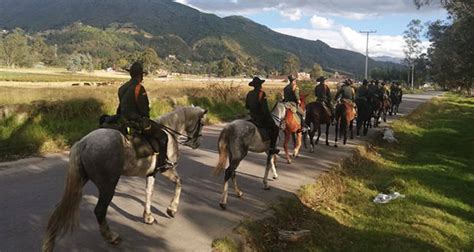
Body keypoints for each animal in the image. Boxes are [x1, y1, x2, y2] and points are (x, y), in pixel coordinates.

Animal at [43, 106, 207, 250]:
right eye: (202, 124)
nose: (197, 143)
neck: (170, 130)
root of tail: (83, 143)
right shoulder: (167, 170)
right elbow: (179, 183)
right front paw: (171, 210)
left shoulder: (151, 173)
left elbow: (149, 193)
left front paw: (148, 217)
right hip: (108, 186)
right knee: (100, 211)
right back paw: (111, 237)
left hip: (81, 182)